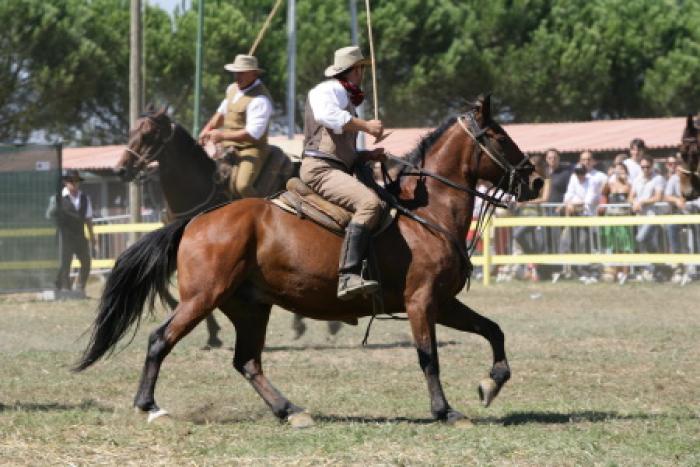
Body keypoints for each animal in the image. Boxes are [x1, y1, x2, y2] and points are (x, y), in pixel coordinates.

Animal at [76, 96, 544, 427]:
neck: (426, 213)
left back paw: (290, 410)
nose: (537, 180)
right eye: (500, 136)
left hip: (249, 307)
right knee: (161, 340)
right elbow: (429, 357)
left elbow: (494, 331)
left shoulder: (443, 302)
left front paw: (490, 384)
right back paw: (149, 405)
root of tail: (197, 220)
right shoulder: (421, 301)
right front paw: (445, 410)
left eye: (146, 134)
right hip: (203, 298)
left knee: (247, 362)